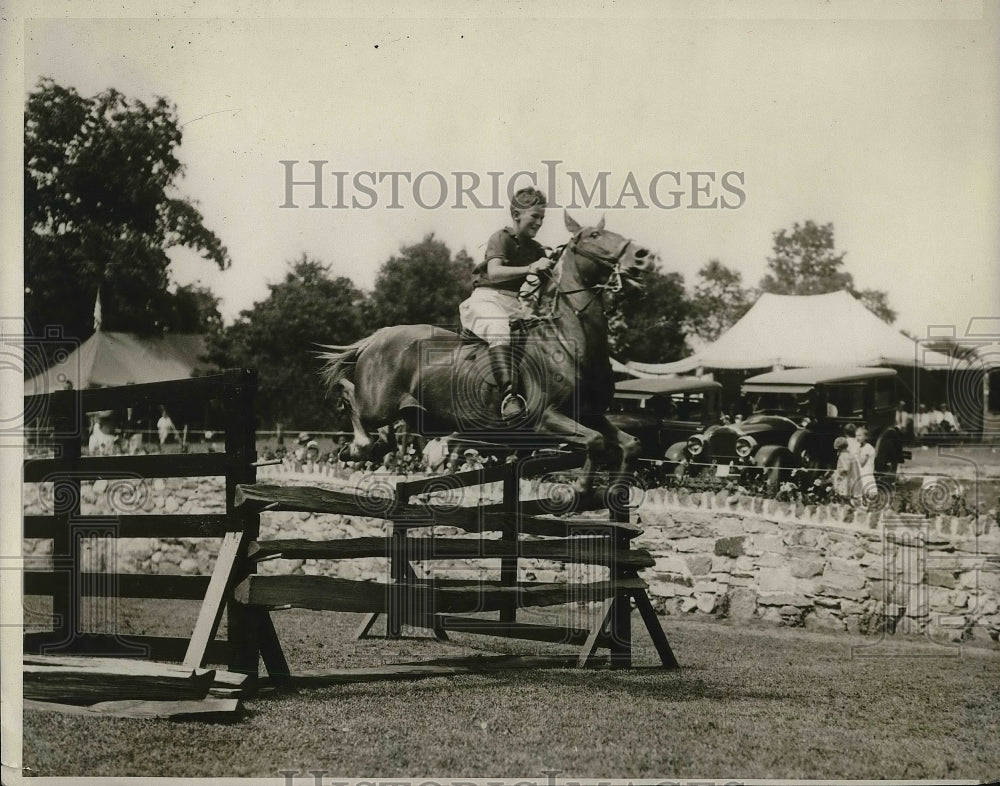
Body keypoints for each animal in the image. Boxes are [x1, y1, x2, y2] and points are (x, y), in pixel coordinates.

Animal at [316, 213, 652, 496]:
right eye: (595, 235)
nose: (642, 256)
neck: (569, 342)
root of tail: (378, 336)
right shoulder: (546, 418)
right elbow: (595, 441)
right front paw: (581, 488)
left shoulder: (592, 414)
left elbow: (631, 444)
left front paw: (617, 489)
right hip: (377, 405)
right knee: (349, 393)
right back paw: (360, 446)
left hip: (418, 413)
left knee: (391, 428)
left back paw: (385, 446)